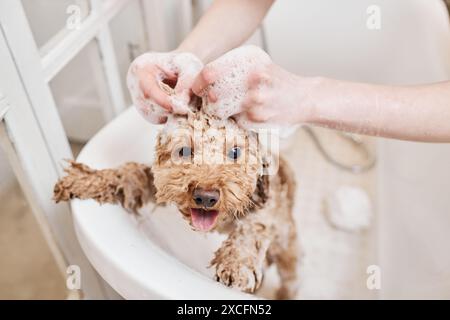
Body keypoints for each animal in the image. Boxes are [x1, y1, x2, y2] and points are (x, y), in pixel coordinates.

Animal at [54, 48, 298, 300]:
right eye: (185, 151)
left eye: (235, 152)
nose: (206, 196)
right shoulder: (157, 182)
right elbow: (130, 174)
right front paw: (85, 180)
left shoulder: (264, 206)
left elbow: (252, 227)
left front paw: (236, 263)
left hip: (285, 240)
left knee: (290, 269)